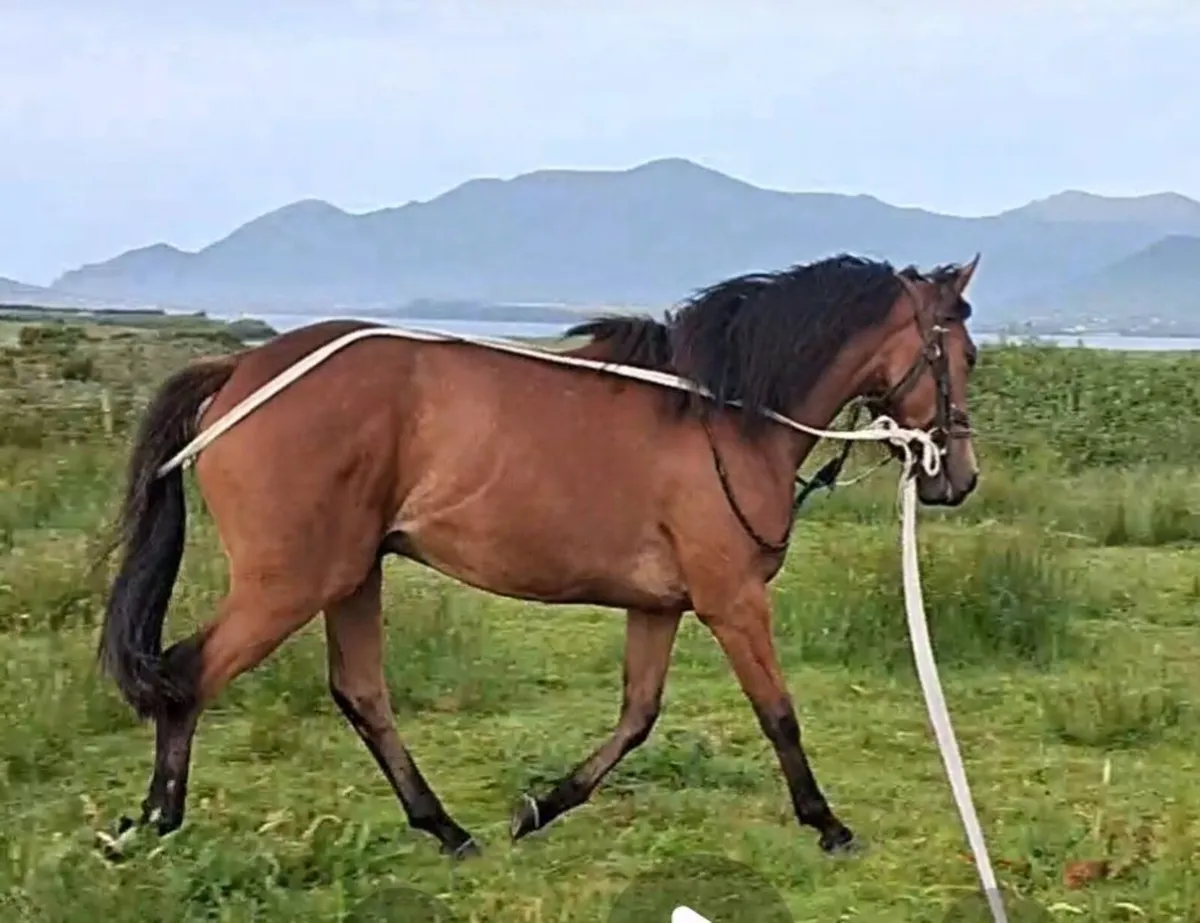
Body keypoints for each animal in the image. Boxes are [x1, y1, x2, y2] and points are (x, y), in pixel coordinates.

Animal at [98, 252, 981, 859]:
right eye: (965, 354)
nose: (960, 477)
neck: (723, 416)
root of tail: (241, 371)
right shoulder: (732, 599)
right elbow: (779, 714)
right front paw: (827, 822)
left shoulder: (658, 604)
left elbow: (636, 718)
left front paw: (541, 806)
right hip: (291, 581)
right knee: (189, 672)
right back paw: (154, 821)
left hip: (350, 574)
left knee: (360, 693)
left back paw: (445, 827)